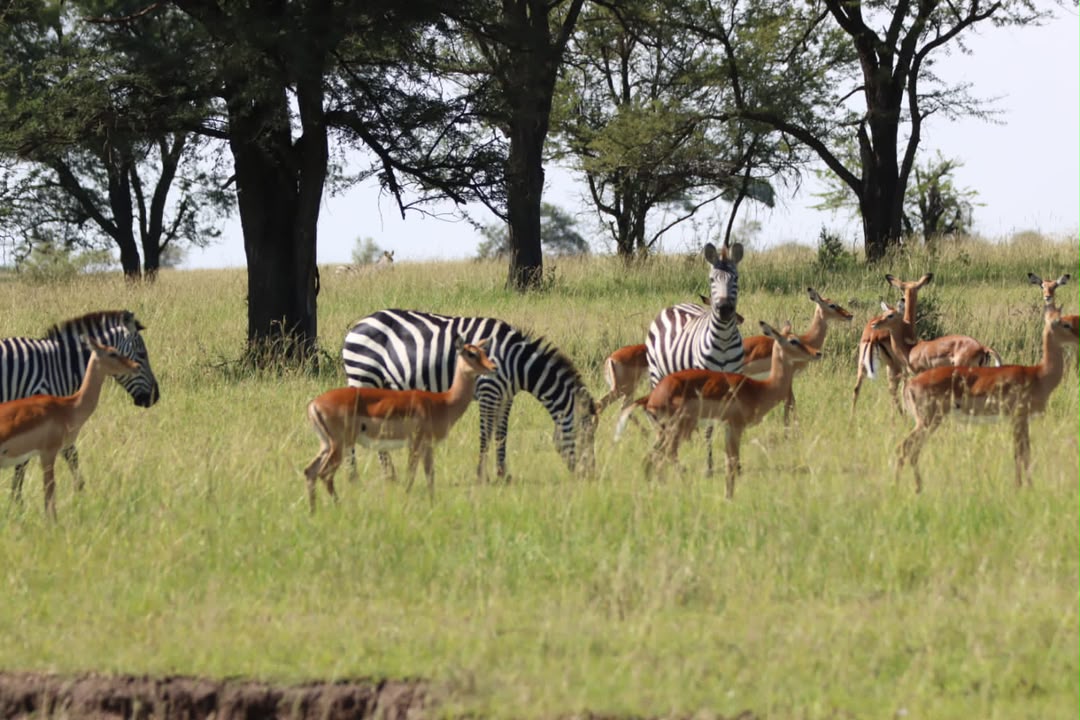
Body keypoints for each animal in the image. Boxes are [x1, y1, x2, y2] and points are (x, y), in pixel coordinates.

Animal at [1, 310, 161, 500]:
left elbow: (68, 456)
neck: (58, 365)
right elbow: (46, 459)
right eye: (142, 354)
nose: (155, 397)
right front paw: (16, 499)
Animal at [342, 309, 596, 482]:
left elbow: (501, 435)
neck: (517, 363)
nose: (589, 476)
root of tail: (357, 325)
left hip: (379, 384)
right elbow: (485, 434)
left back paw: (389, 475)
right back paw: (354, 476)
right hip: (363, 376)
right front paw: (482, 476)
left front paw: (503, 474)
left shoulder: (506, 396)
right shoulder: (488, 391)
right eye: (585, 438)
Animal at [644, 241, 745, 474]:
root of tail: (675, 306)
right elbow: (708, 428)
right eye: (712, 279)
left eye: (735, 278)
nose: (724, 310)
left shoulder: (733, 386)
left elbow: (730, 424)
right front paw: (709, 468)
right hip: (657, 375)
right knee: (662, 422)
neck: (724, 339)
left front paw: (734, 465)